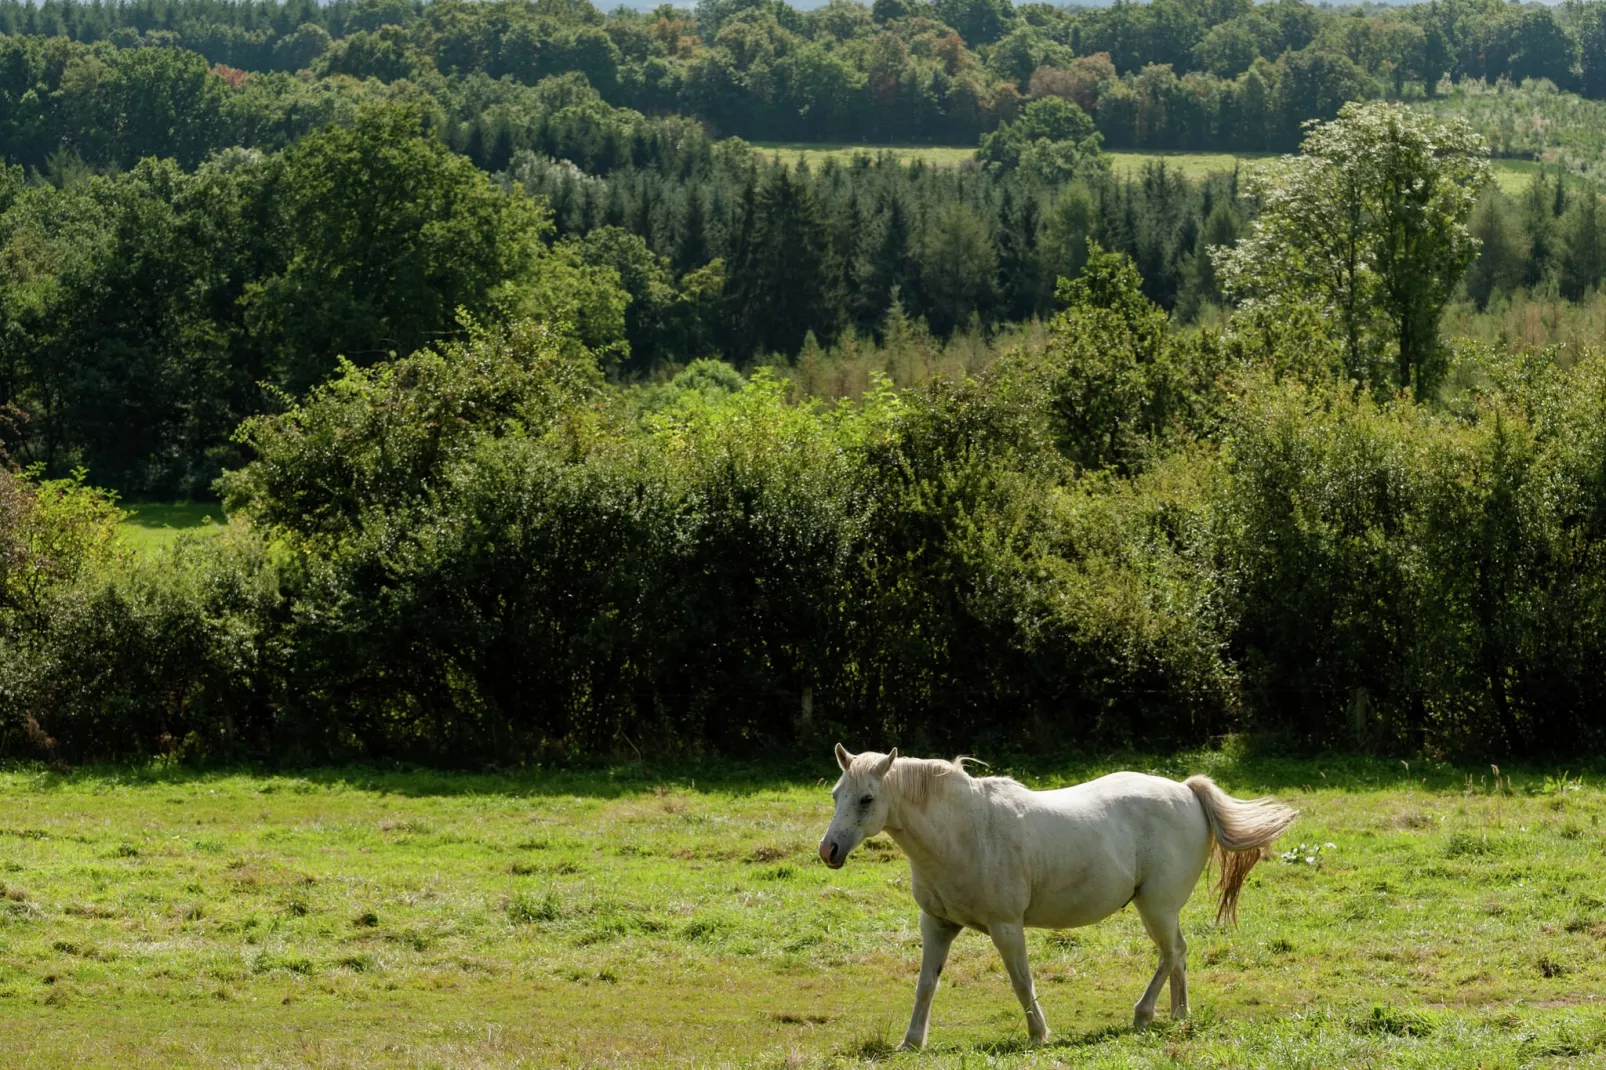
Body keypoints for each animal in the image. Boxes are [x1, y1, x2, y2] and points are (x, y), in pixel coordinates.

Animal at [822, 742, 1297, 1041]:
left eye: (866, 799)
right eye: (835, 793)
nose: (829, 850)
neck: (962, 832)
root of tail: (1185, 789)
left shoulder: (1006, 926)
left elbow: (1021, 981)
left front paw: (1039, 1035)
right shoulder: (936, 925)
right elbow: (925, 985)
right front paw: (911, 1042)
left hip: (1157, 907)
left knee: (1173, 952)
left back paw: (1148, 1014)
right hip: (1159, 910)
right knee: (1175, 955)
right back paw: (1176, 1015)